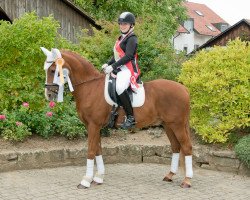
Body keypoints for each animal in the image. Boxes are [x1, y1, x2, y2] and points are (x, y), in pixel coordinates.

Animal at [41, 47, 193, 188]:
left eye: (53, 70)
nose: (49, 95)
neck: (89, 86)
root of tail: (184, 89)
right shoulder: (95, 127)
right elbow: (98, 150)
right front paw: (98, 178)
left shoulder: (93, 125)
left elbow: (91, 151)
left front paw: (85, 180)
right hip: (168, 125)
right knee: (175, 147)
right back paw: (170, 175)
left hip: (177, 125)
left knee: (186, 147)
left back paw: (187, 180)